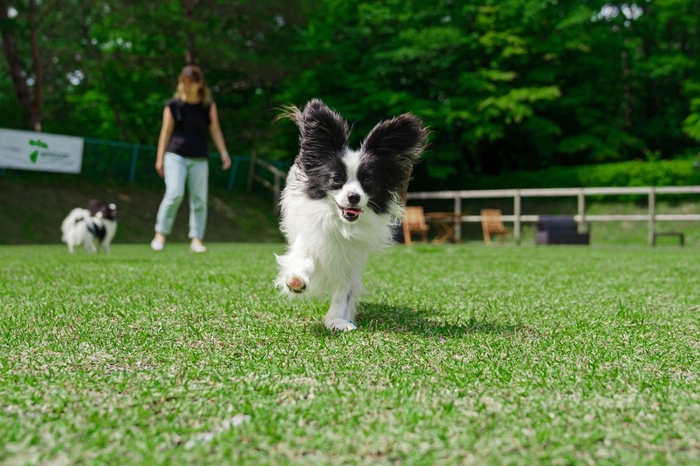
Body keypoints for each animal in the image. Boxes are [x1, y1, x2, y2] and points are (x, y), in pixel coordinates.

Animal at [276, 99, 430, 330]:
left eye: (368, 180)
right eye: (335, 179)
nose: (354, 196)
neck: (341, 225)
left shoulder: (351, 261)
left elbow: (344, 292)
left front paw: (336, 321)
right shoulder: (310, 239)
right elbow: (303, 259)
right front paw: (296, 280)